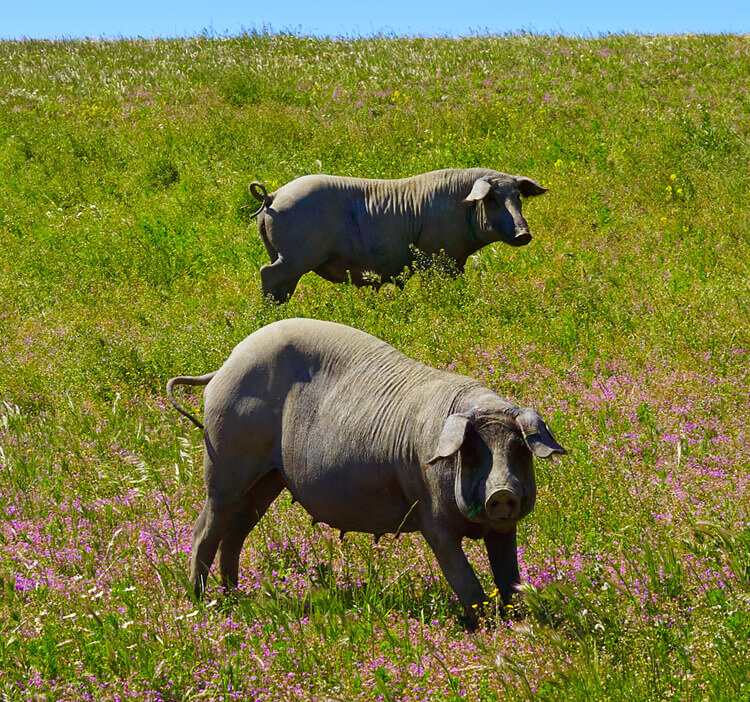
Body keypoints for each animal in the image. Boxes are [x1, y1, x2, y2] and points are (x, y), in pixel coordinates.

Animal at [167, 320, 568, 628]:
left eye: (518, 450)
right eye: (472, 452)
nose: (501, 492)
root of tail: (222, 368)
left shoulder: (504, 528)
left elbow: (509, 577)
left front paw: (517, 623)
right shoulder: (431, 516)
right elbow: (464, 580)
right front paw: (486, 629)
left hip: (268, 480)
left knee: (236, 531)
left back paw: (235, 598)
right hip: (226, 462)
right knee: (206, 527)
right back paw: (202, 603)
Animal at [250, 170, 548, 306]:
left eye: (517, 197)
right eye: (492, 199)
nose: (524, 233)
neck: (461, 206)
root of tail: (273, 196)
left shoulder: (456, 262)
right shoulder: (436, 258)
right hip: (297, 255)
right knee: (268, 273)